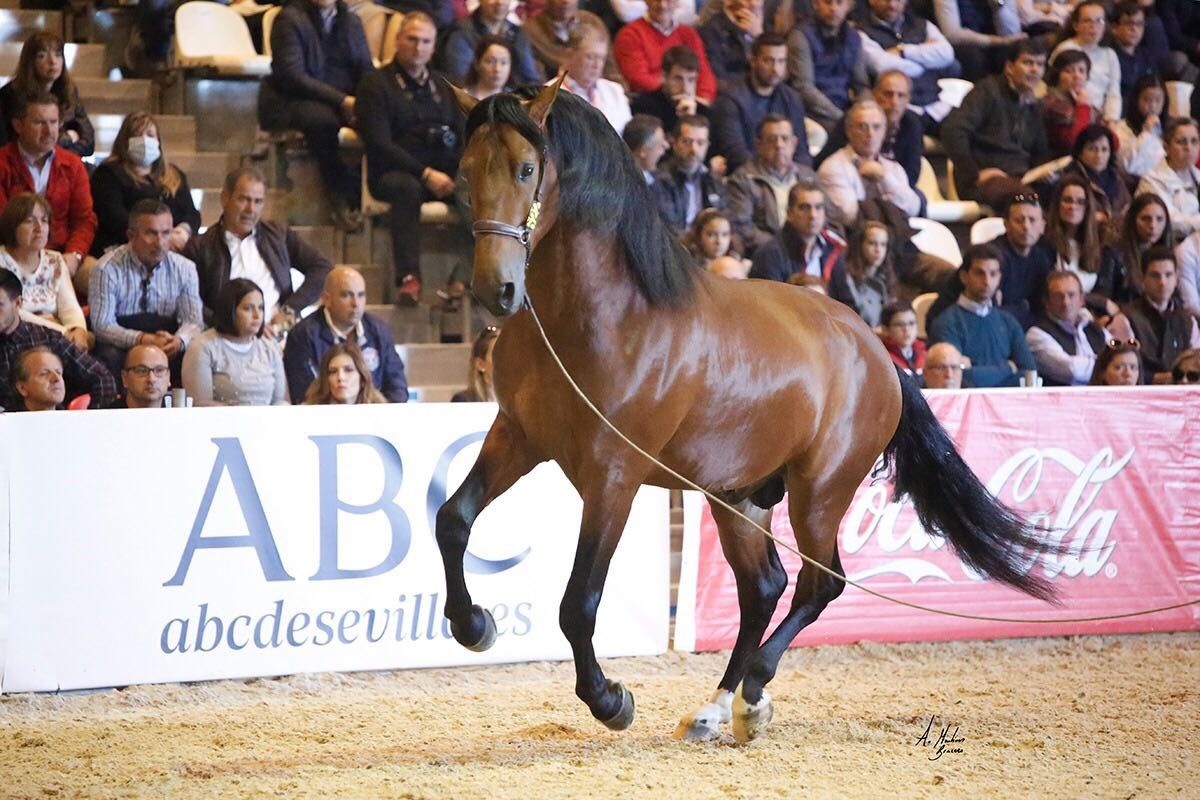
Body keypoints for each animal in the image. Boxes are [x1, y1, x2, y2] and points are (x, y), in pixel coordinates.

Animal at [435, 78, 1056, 743]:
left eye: (527, 169)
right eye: (466, 168)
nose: (496, 289)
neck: (604, 316)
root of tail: (878, 352)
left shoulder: (613, 476)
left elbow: (578, 603)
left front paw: (610, 699)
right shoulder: (518, 437)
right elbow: (453, 520)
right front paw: (474, 626)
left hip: (819, 491)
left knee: (818, 582)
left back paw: (752, 693)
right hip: (737, 495)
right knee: (764, 587)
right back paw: (716, 705)